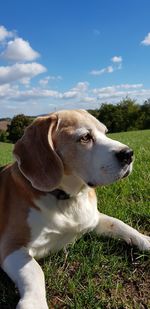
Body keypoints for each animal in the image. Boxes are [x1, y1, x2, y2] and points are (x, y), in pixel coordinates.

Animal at [0, 109, 149, 306]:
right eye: (85, 137)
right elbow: (35, 271)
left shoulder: (94, 219)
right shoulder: (11, 247)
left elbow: (120, 224)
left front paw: (145, 239)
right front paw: (34, 303)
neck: (68, 199)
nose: (129, 154)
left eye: (105, 132)